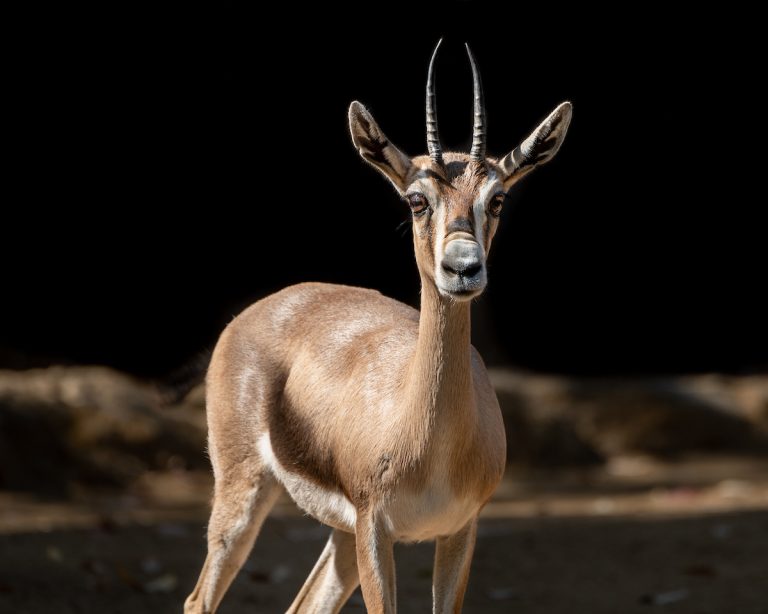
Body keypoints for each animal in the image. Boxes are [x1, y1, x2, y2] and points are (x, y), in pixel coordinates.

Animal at [184, 40, 571, 613]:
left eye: (497, 199)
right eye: (417, 200)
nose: (463, 268)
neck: (429, 442)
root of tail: (256, 311)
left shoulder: (460, 530)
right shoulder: (375, 527)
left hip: (341, 536)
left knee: (303, 604)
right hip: (245, 491)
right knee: (199, 599)